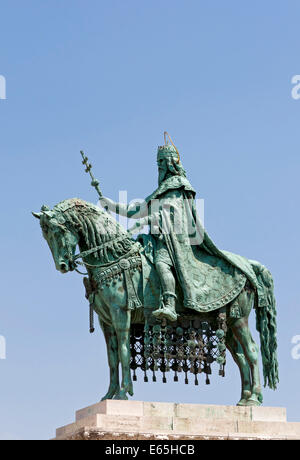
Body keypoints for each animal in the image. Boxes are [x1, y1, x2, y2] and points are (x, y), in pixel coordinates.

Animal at [32, 198, 278, 406]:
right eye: (45, 236)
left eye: (58, 230)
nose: (63, 266)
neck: (112, 257)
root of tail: (250, 264)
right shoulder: (106, 322)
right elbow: (112, 358)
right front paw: (109, 395)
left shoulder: (121, 315)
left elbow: (123, 352)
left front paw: (123, 394)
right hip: (227, 324)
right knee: (241, 357)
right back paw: (244, 399)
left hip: (239, 319)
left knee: (252, 351)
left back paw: (254, 398)